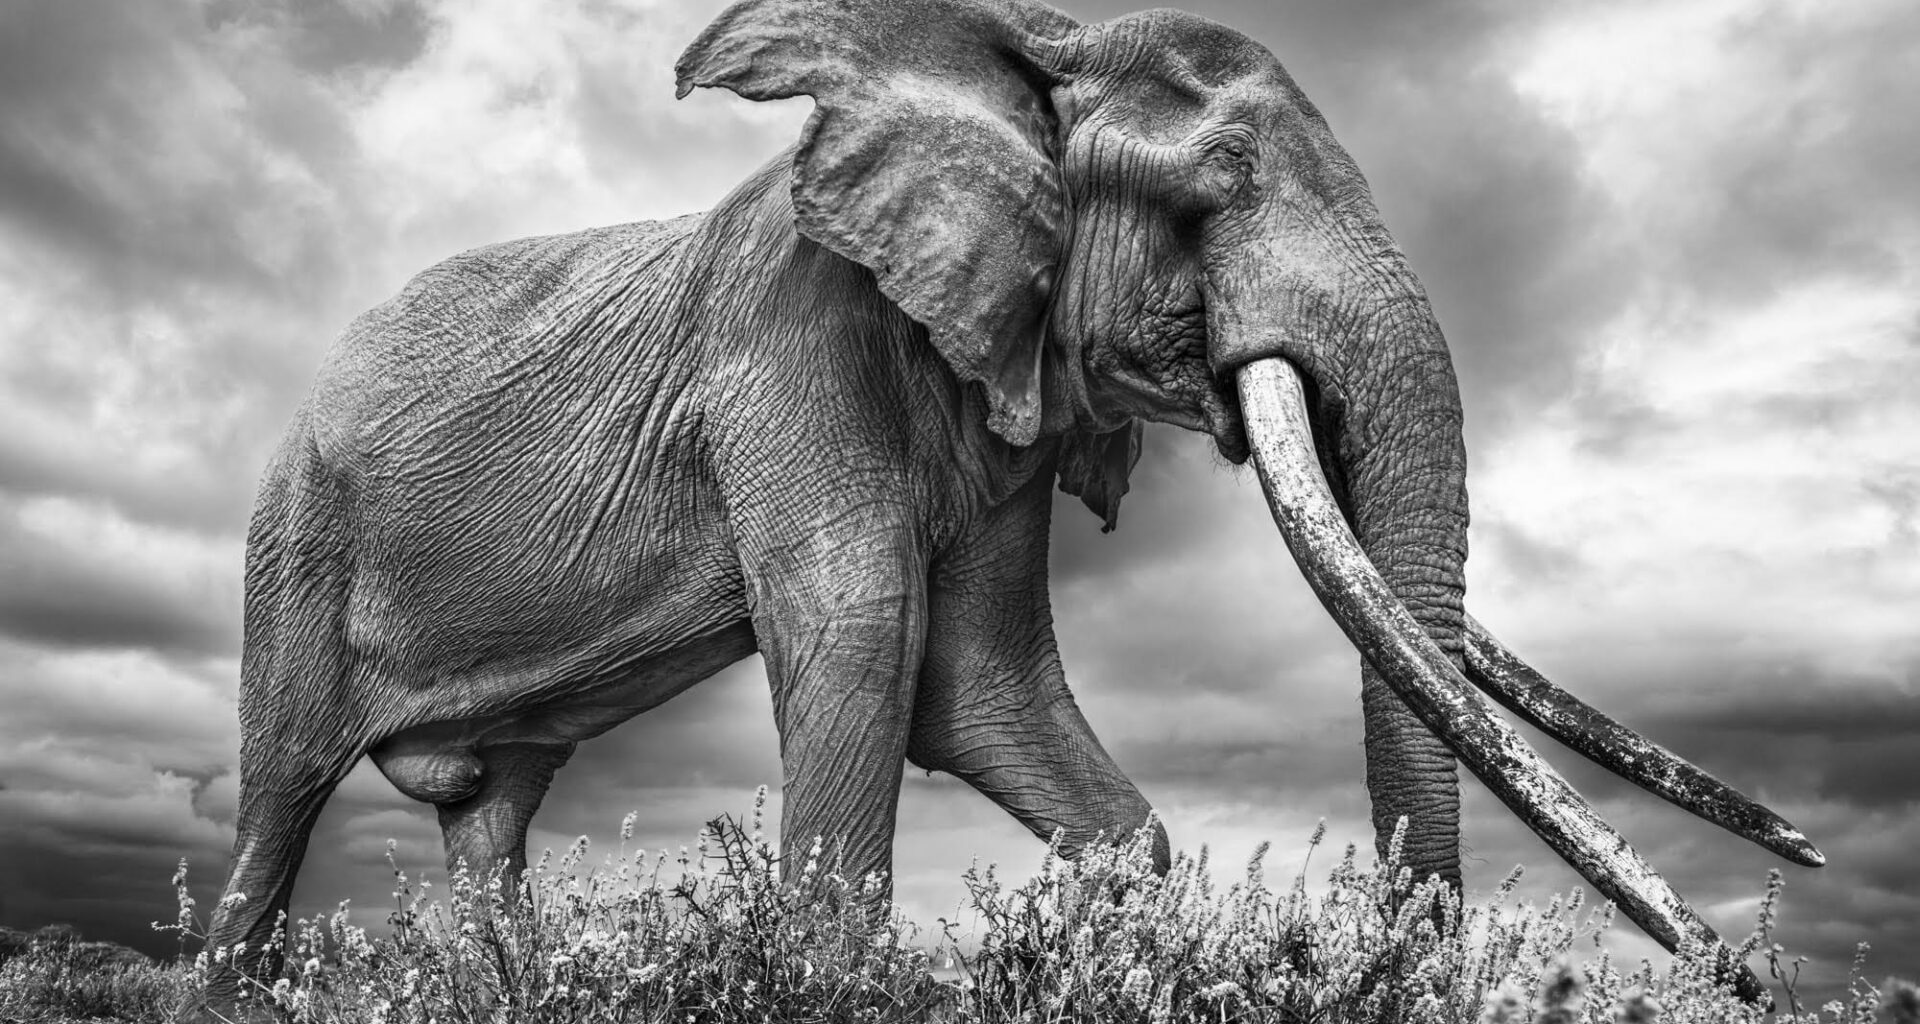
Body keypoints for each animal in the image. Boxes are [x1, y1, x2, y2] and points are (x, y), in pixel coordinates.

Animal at [204, 0, 1822, 1009]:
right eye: (1220, 185)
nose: (1763, 945)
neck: (1028, 51)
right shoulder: (794, 336)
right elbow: (867, 648)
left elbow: (980, 693)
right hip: (294, 539)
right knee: (278, 806)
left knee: (496, 818)